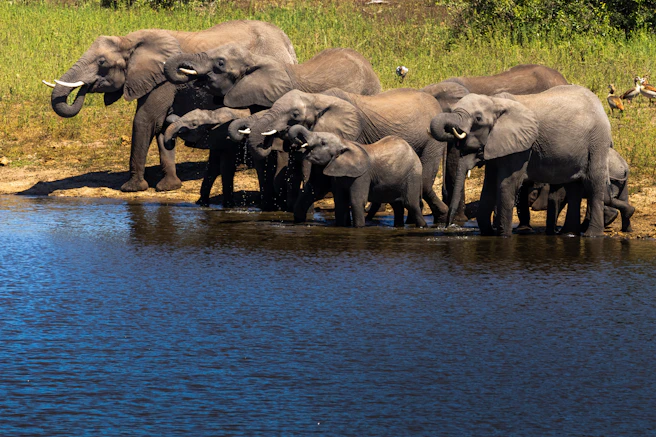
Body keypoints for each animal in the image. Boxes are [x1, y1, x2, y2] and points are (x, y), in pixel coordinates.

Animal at [42, 20, 297, 193]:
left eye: (102, 62)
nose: (84, 88)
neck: (130, 41)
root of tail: (287, 42)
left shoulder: (162, 81)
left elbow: (146, 120)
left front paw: (131, 188)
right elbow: (163, 125)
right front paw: (169, 186)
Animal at [289, 125, 426, 228]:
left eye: (323, 143)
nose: (296, 144)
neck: (344, 143)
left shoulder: (362, 175)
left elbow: (357, 201)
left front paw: (359, 228)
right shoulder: (337, 174)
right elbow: (340, 201)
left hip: (413, 175)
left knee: (411, 204)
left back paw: (422, 226)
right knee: (397, 205)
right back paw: (399, 226)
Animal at [430, 85, 611, 237]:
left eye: (478, 118)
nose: (448, 226)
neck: (495, 102)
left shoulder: (522, 145)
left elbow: (507, 183)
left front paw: (503, 236)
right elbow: (488, 186)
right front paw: (488, 234)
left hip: (598, 141)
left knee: (594, 182)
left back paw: (592, 235)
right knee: (573, 187)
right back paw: (568, 234)